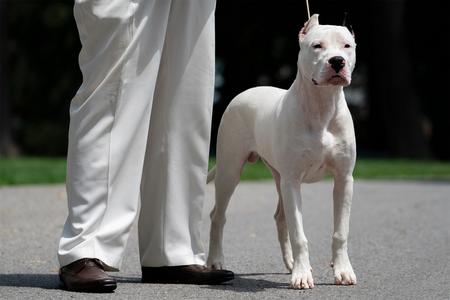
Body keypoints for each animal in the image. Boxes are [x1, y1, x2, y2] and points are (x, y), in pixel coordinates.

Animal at [207, 15, 358, 290]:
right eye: (317, 46)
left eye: (347, 46)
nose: (337, 61)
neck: (321, 106)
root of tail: (246, 92)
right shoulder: (293, 181)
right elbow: (299, 234)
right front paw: (302, 276)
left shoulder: (344, 179)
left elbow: (340, 231)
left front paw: (342, 271)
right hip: (230, 171)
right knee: (218, 215)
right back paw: (215, 261)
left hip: (279, 178)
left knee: (280, 217)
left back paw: (290, 263)